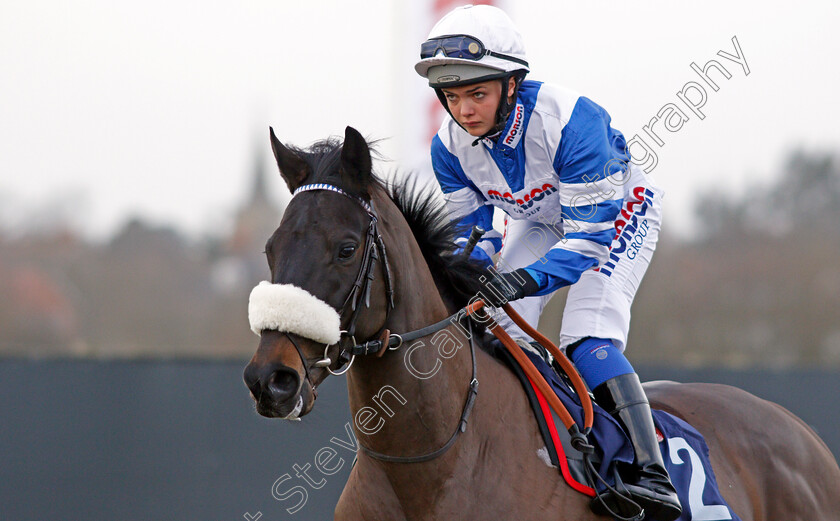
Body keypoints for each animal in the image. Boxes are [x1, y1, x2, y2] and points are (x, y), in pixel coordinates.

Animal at [243, 127, 840, 520]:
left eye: (346, 249)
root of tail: (802, 433)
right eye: (270, 249)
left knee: (594, 339)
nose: (270, 379)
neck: (430, 466)